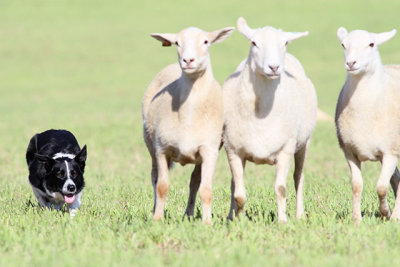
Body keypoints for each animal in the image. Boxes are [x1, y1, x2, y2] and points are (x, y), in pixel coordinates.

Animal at [142, 26, 234, 225]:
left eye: (206, 42)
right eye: (177, 42)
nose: (188, 60)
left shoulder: (209, 150)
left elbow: (206, 189)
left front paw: (207, 224)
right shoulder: (161, 149)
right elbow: (162, 186)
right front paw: (157, 220)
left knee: (195, 181)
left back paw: (189, 214)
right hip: (150, 145)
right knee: (154, 177)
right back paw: (155, 209)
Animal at [223, 17, 318, 224]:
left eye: (286, 43)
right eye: (253, 42)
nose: (274, 67)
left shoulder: (286, 149)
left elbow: (281, 189)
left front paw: (283, 221)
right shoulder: (233, 150)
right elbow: (239, 193)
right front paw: (239, 221)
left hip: (304, 143)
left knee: (299, 178)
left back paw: (299, 215)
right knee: (234, 184)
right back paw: (230, 216)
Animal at [336, 26, 400, 224]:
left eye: (371, 44)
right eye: (343, 45)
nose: (351, 63)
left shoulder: (390, 152)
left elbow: (381, 187)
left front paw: (386, 213)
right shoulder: (350, 152)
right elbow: (356, 186)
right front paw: (356, 220)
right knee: (397, 178)